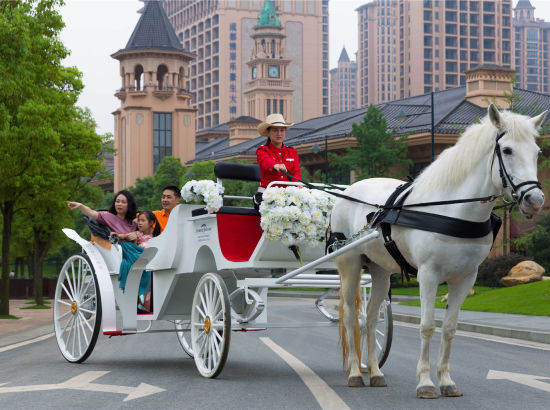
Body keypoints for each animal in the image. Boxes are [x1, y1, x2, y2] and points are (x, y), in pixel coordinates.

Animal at [332, 104, 548, 398]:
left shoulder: (466, 278)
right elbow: (427, 326)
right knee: (352, 319)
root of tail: (350, 190)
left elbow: (449, 329)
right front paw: (425, 382)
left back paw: (375, 372)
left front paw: (446, 380)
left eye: (537, 153)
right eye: (507, 150)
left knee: (372, 318)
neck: (453, 209)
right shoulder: (428, 275)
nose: (534, 200)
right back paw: (355, 372)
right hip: (350, 264)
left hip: (380, 270)